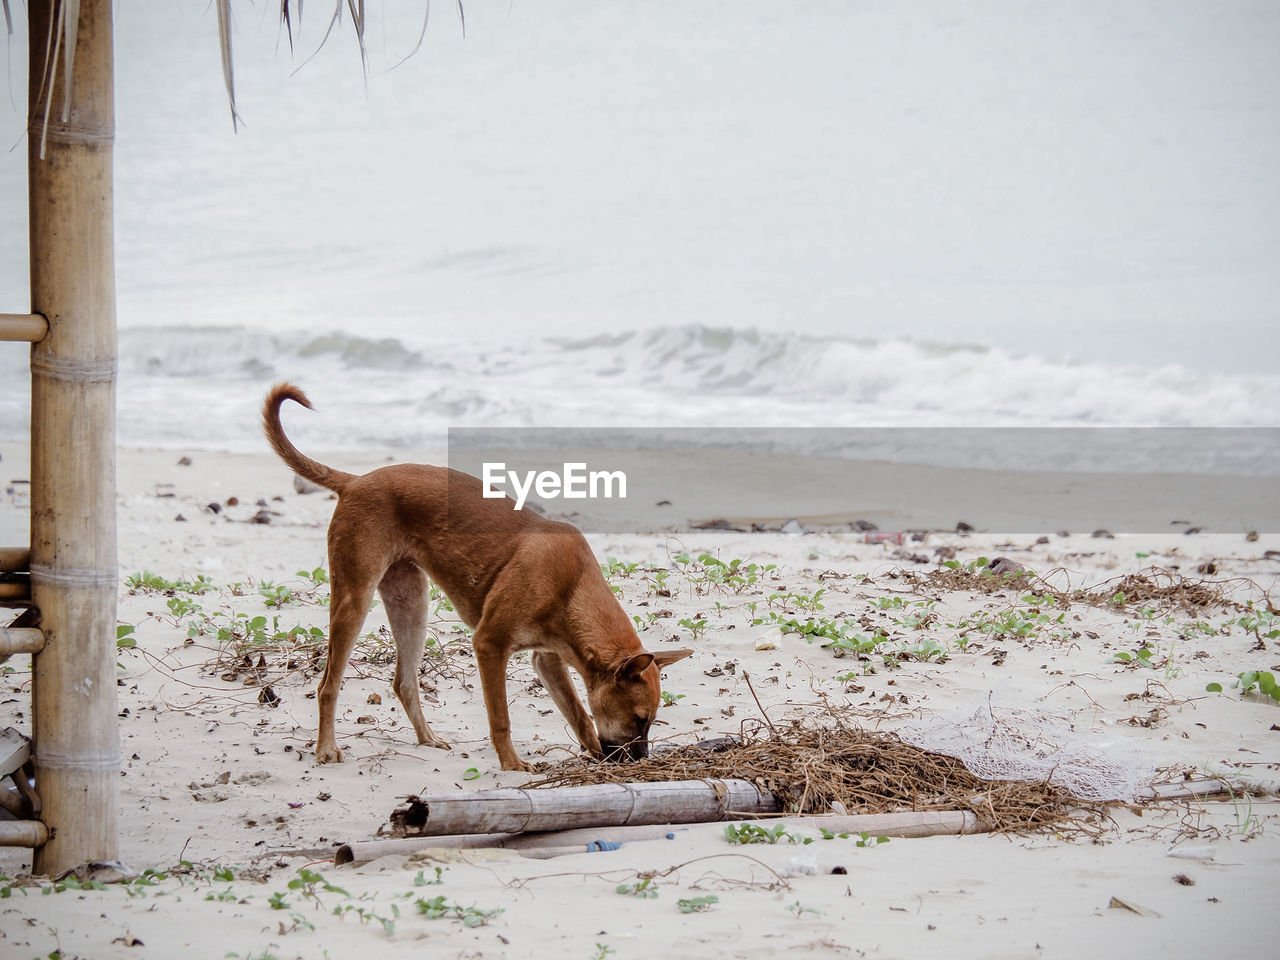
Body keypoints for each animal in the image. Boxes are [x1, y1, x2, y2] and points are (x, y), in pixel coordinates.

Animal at [258, 386, 691, 773]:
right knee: (328, 685)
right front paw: (512, 764)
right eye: (639, 719)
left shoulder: (548, 659)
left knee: (404, 682)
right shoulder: (490, 645)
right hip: (355, 599)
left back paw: (427, 738)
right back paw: (326, 748)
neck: (571, 585)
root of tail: (354, 481)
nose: (641, 760)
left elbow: (580, 715)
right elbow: (501, 719)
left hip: (411, 605)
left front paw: (595, 755)